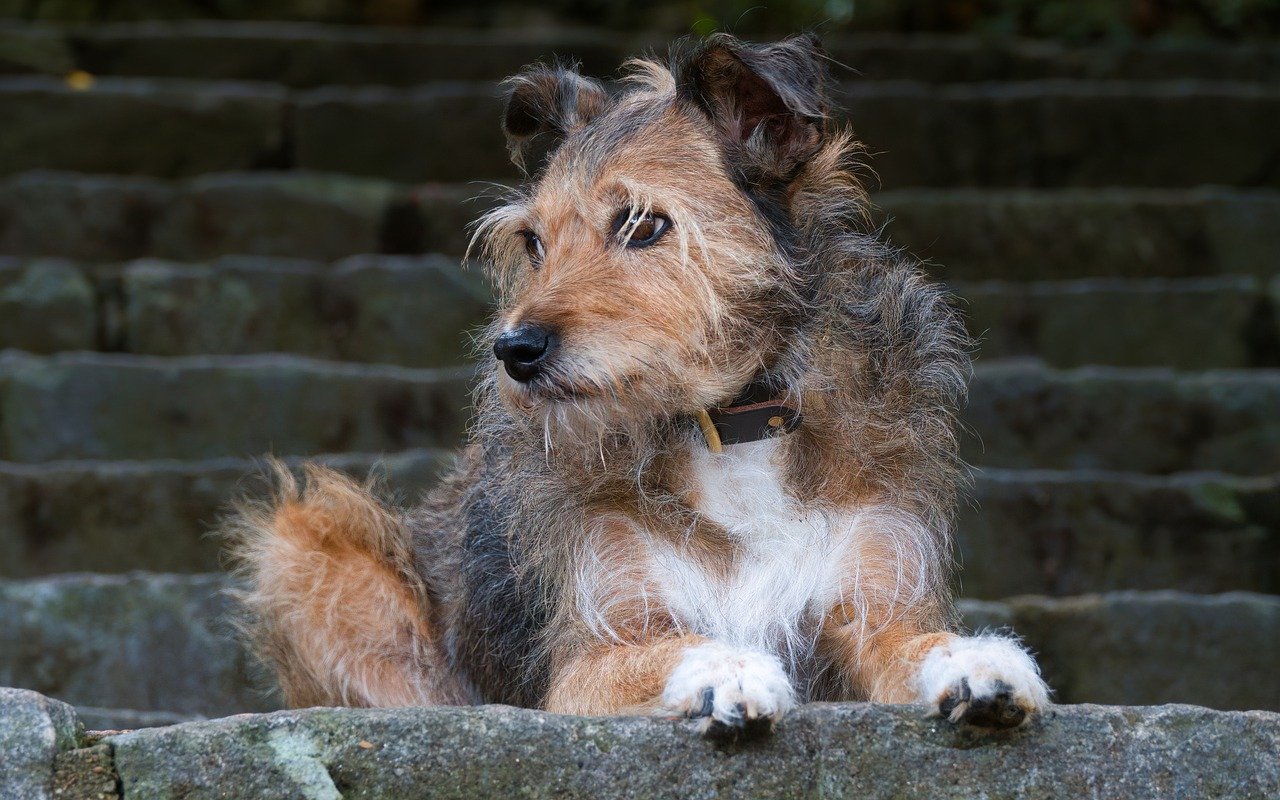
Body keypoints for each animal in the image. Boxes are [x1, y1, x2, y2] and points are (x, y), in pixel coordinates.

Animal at [227, 29, 1049, 732]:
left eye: (643, 223)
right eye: (533, 241)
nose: (512, 350)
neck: (732, 423)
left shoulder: (871, 603)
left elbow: (911, 640)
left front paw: (976, 659)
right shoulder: (592, 654)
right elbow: (665, 648)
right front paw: (725, 668)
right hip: (306, 542)